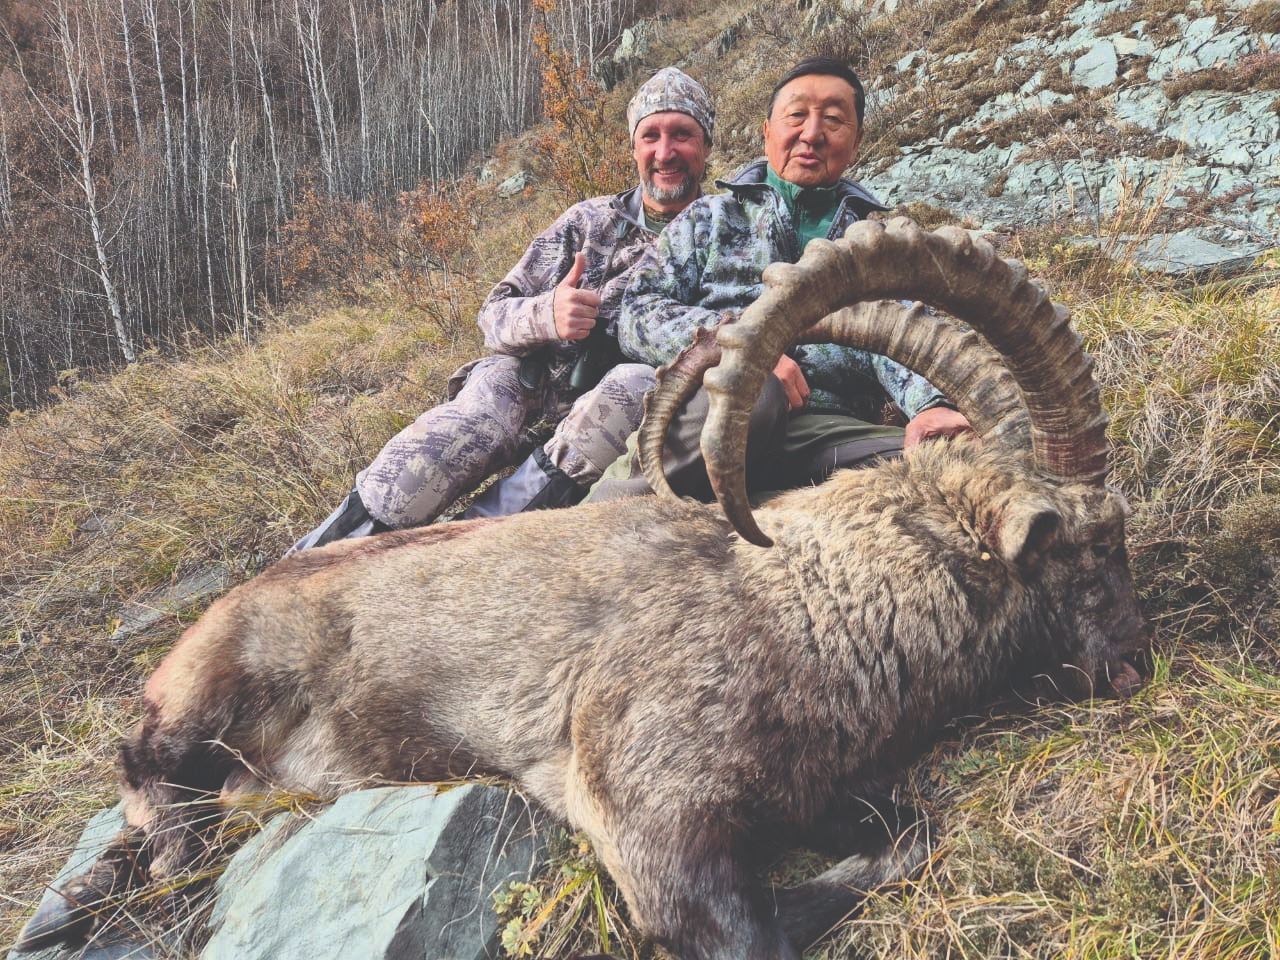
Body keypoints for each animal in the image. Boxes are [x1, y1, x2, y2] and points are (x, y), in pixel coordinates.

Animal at [17, 218, 1147, 960]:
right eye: (1090, 544)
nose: (1134, 664)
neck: (813, 602)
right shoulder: (643, 808)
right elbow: (754, 922)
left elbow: (885, 828)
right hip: (209, 697)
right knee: (143, 767)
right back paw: (167, 851)